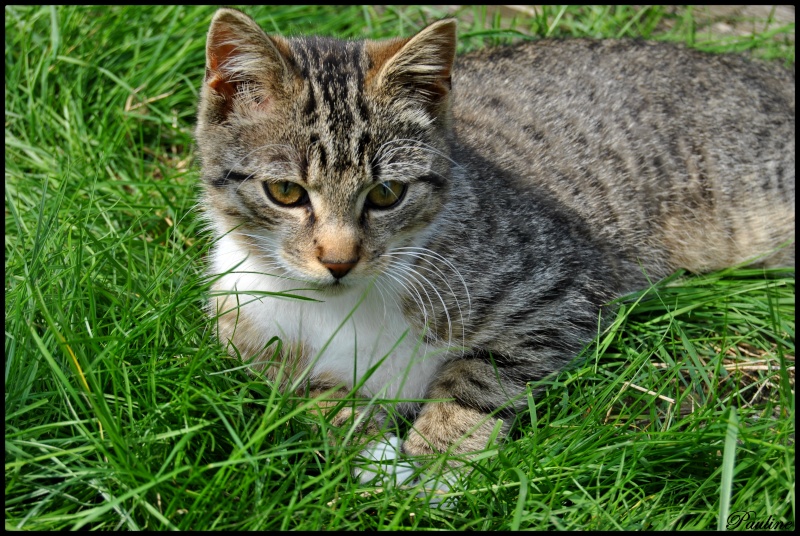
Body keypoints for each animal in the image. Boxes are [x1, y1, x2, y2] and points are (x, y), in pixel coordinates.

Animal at [197, 8, 796, 492]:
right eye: (286, 192)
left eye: (387, 194)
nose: (339, 261)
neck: (344, 305)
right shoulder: (243, 328)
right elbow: (314, 397)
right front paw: (376, 460)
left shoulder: (563, 284)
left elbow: (478, 379)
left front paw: (433, 470)